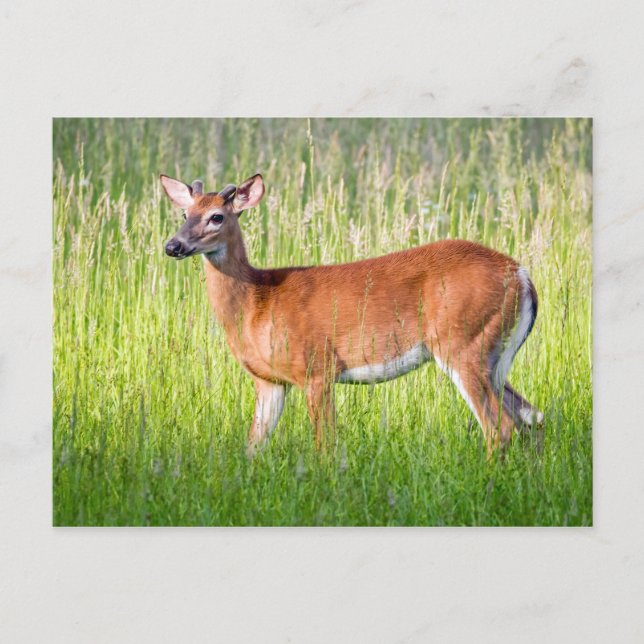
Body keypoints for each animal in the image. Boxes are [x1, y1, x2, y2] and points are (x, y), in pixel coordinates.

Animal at [161, 172, 543, 458]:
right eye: (184, 214)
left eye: (217, 216)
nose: (172, 246)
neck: (258, 302)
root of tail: (521, 275)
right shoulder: (269, 382)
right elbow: (254, 446)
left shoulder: (316, 368)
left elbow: (325, 446)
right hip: (493, 356)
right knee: (532, 417)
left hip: (462, 343)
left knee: (499, 427)